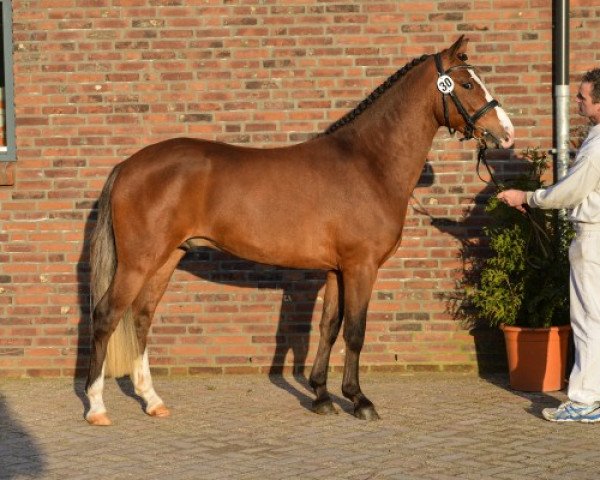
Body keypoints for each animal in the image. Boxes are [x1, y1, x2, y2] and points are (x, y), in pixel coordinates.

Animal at [85, 36, 516, 424]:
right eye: (466, 84)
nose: (507, 133)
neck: (368, 163)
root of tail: (127, 165)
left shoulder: (336, 270)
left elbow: (327, 328)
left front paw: (322, 396)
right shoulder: (361, 267)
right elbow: (355, 331)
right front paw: (360, 401)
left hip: (167, 258)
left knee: (141, 317)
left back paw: (152, 401)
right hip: (138, 262)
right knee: (106, 315)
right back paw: (97, 407)